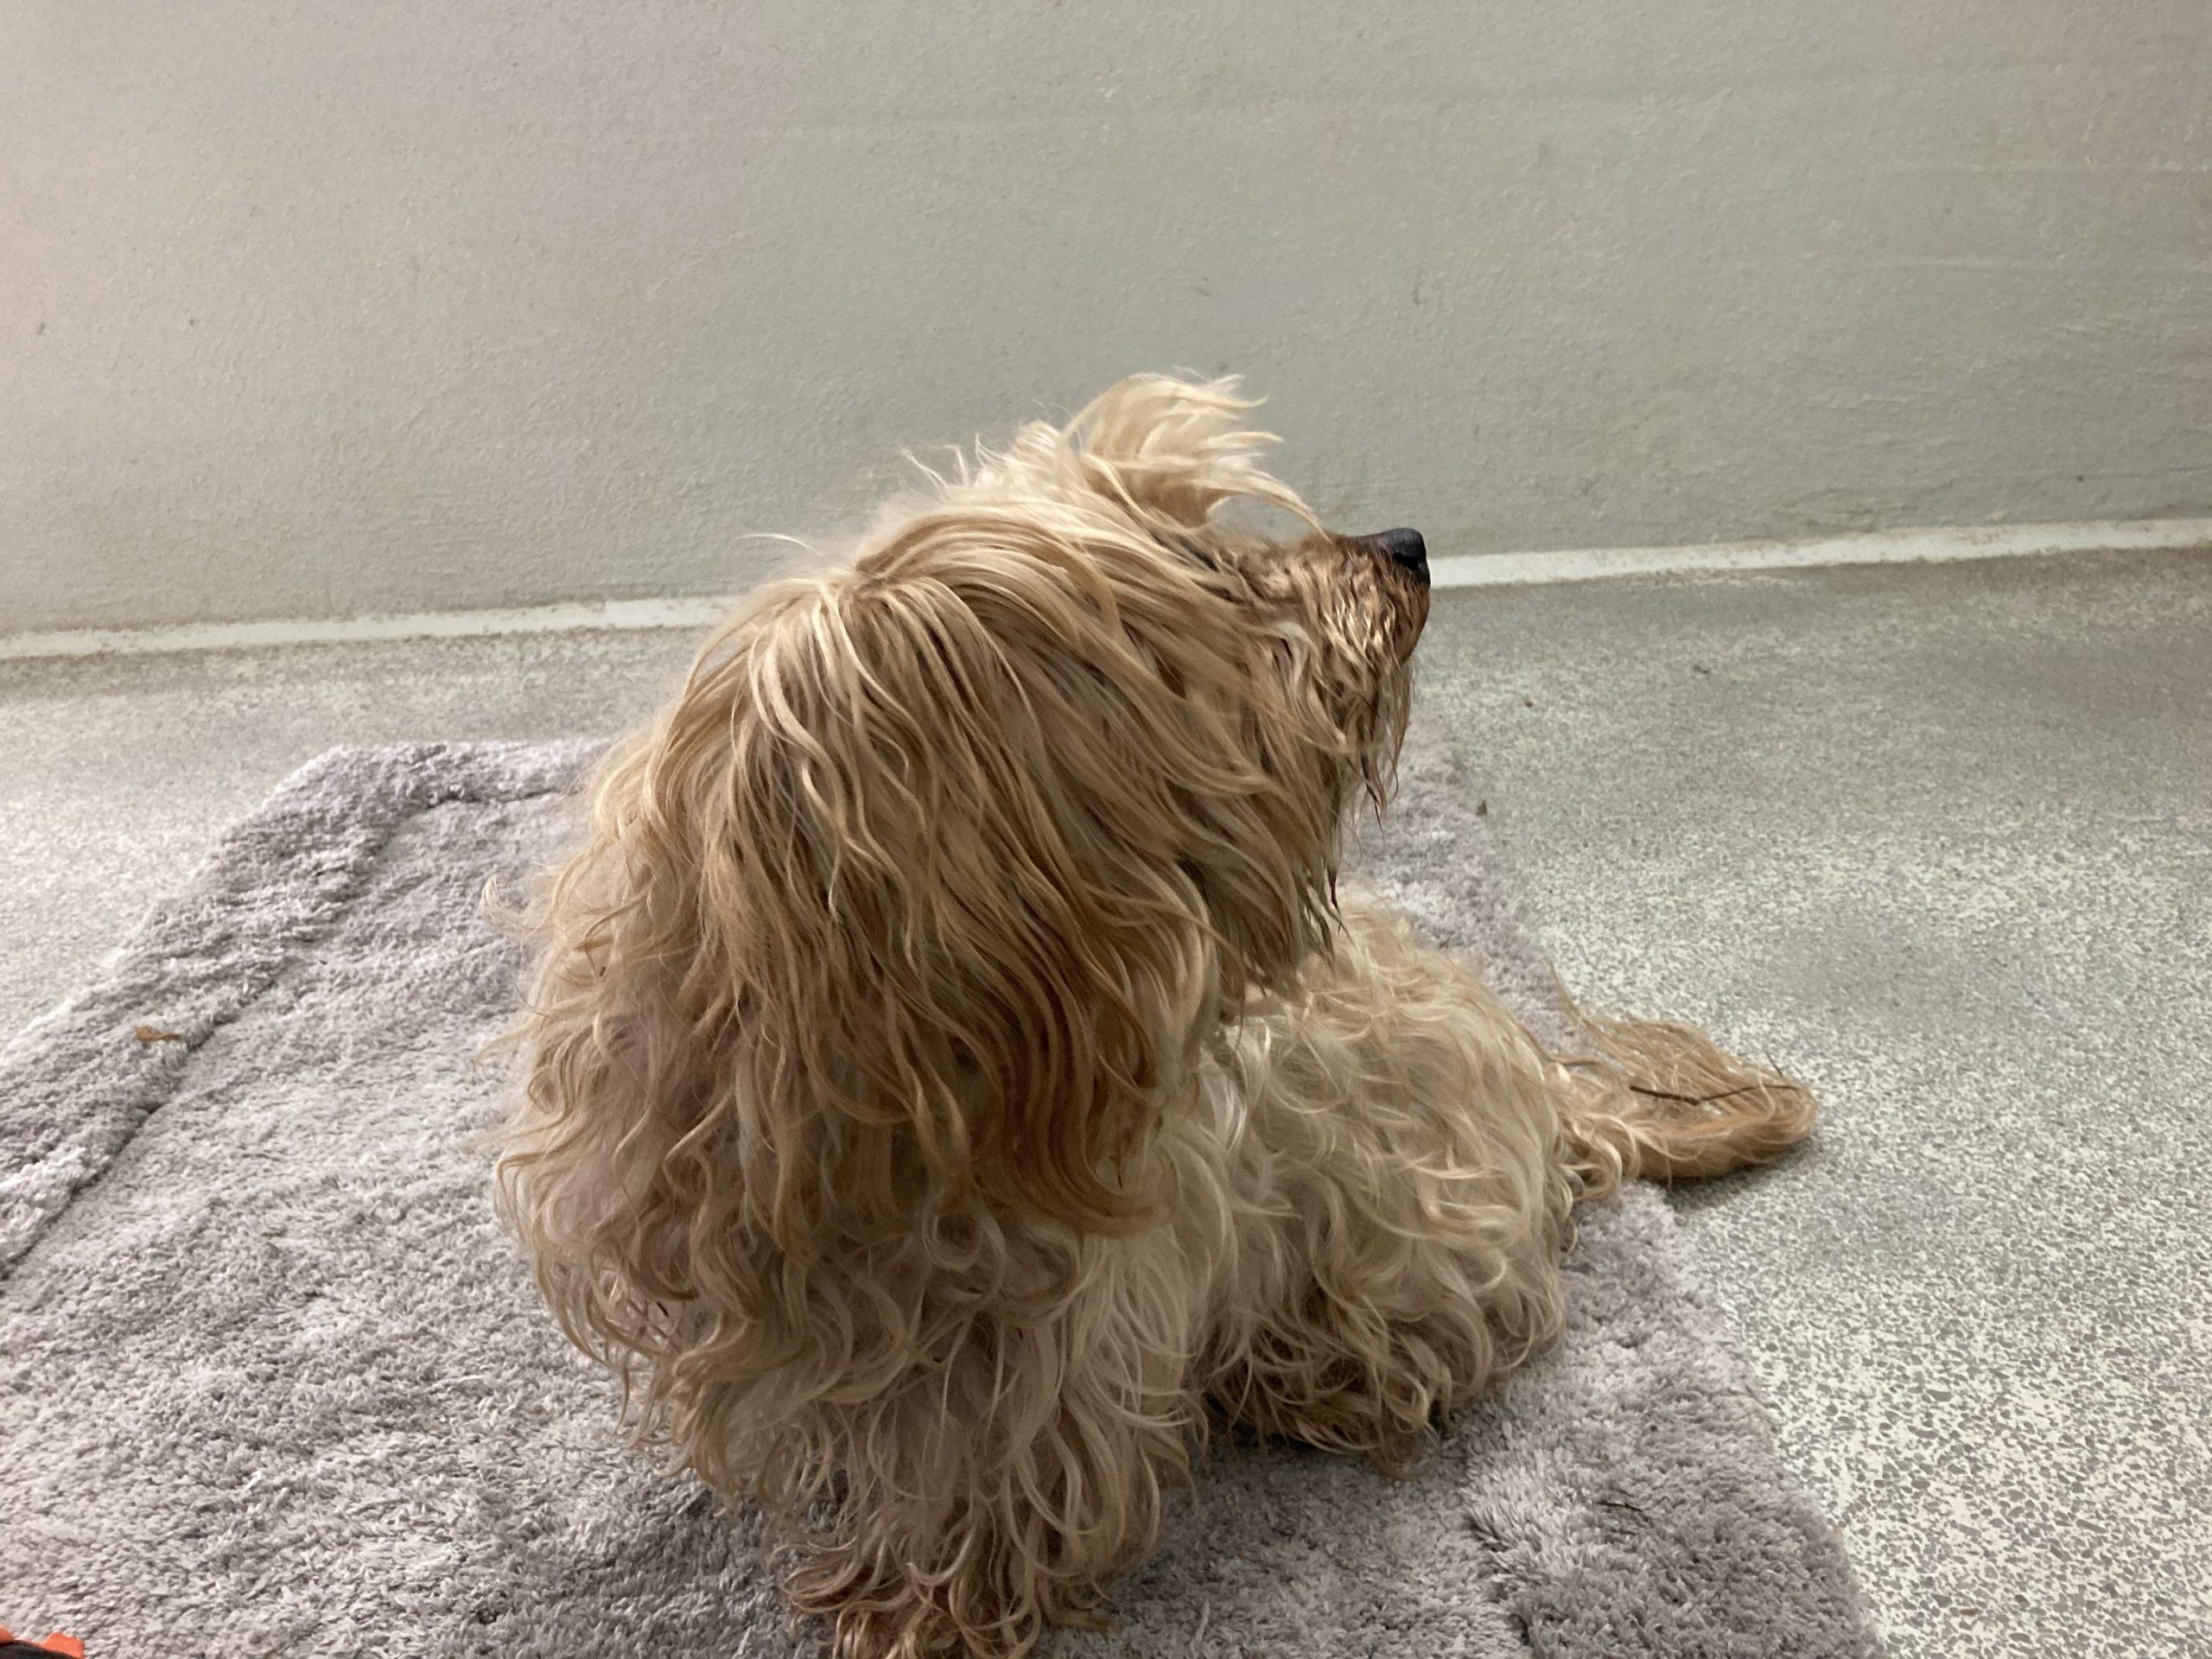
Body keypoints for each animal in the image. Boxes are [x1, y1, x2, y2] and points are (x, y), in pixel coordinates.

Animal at [494, 376, 1814, 1658]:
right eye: (1200, 572)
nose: (1406, 546)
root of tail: (1547, 1088)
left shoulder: (1057, 1325)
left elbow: (996, 1464)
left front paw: (924, 1598)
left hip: (1407, 1228)